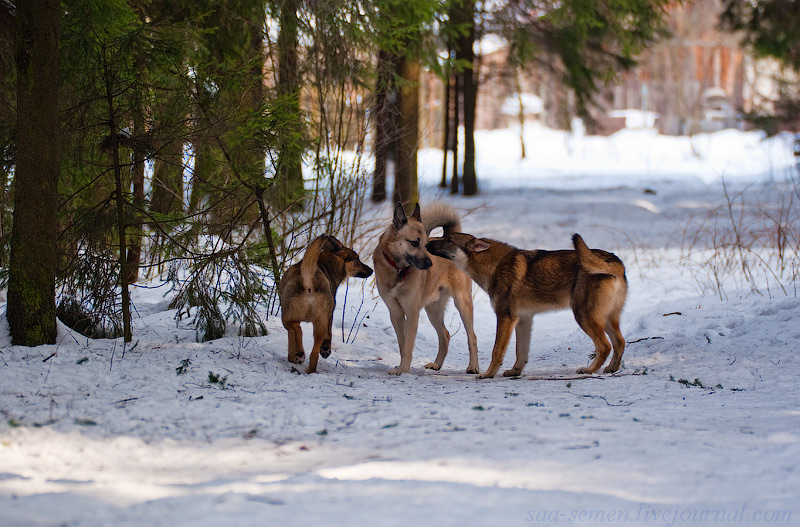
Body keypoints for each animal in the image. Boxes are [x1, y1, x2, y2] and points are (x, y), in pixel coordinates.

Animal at [278, 235, 372, 376]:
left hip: (293, 317)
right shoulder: (329, 315)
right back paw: (306, 362)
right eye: (357, 259)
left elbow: (292, 339)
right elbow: (329, 333)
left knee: (299, 332)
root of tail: (307, 280)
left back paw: (301, 356)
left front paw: (293, 358)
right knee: (309, 345)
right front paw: (325, 349)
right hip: (310, 320)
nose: (371, 270)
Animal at [372, 202, 478, 376]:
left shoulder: (412, 313)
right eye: (414, 243)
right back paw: (437, 364)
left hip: (462, 304)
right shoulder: (396, 314)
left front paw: (404, 370)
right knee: (445, 335)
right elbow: (402, 344)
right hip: (433, 310)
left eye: (425, 244)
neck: (398, 270)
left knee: (472, 337)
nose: (430, 264)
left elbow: (408, 345)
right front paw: (401, 367)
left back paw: (473, 366)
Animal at [428, 233, 628, 378]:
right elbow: (521, 352)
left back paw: (589, 370)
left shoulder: (505, 317)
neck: (495, 266)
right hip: (606, 319)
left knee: (605, 346)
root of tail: (616, 262)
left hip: (584, 317)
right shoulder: (524, 319)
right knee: (619, 342)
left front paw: (487, 374)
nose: (428, 243)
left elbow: (496, 351)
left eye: (449, 240)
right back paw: (611, 368)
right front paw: (515, 371)